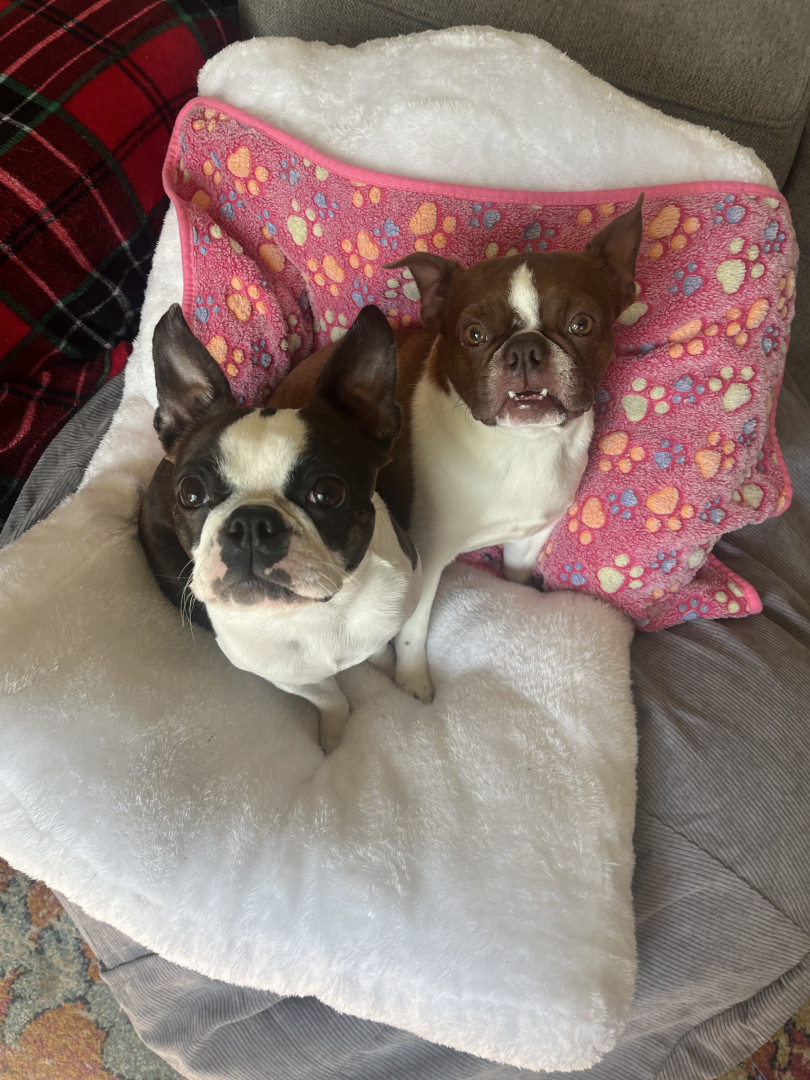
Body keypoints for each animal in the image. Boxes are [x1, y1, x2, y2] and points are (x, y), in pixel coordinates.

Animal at [138, 303, 421, 753]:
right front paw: (335, 737)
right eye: (191, 493)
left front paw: (383, 662)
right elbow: (330, 698)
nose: (251, 523)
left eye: (327, 492)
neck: (314, 613)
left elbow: (385, 645)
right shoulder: (285, 676)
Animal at [271, 195, 644, 703]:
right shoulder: (425, 556)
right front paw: (413, 682)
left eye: (581, 324)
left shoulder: (529, 538)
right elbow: (413, 629)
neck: (520, 445)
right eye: (473, 335)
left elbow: (516, 575)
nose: (525, 350)